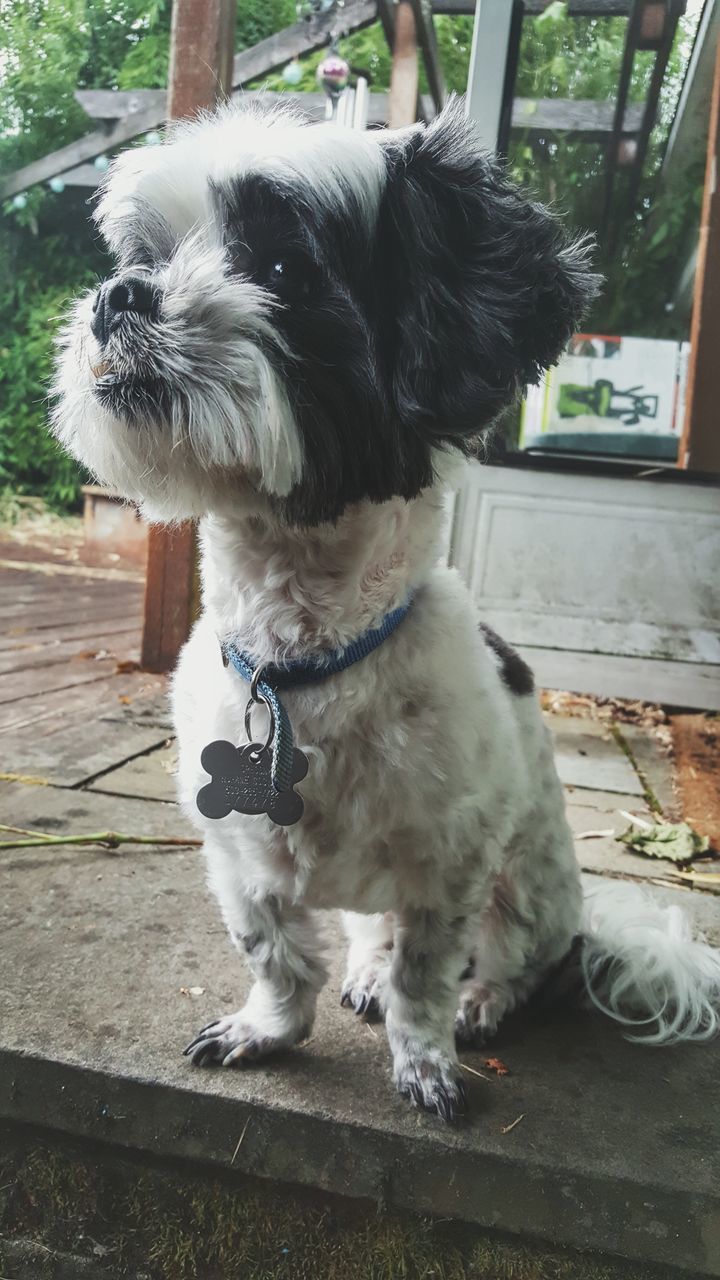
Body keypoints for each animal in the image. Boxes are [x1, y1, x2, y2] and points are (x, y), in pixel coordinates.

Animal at [51, 102, 717, 1121]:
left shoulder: (453, 864)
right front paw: (267, 1029)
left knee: (523, 964)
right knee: (371, 936)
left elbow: (425, 975)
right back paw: (363, 970)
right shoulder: (236, 854)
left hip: (532, 892)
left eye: (282, 268)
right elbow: (275, 953)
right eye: (146, 255)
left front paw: (427, 1061)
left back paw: (487, 1001)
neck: (300, 662)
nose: (119, 295)